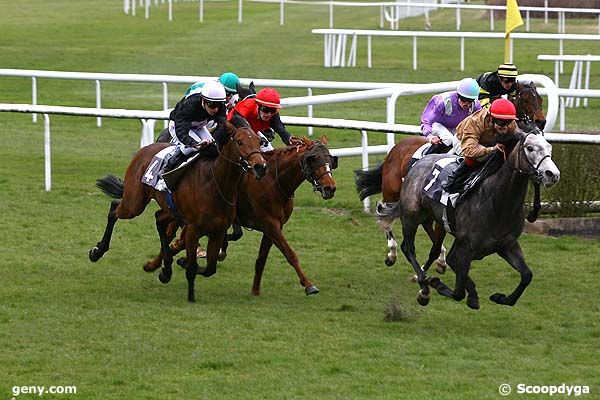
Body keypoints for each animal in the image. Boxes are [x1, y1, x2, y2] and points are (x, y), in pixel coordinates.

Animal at [89, 120, 268, 302]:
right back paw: (98, 252)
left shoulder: (218, 230)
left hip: (168, 210)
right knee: (114, 208)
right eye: (239, 142)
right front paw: (191, 296)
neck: (215, 183)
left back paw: (166, 270)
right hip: (134, 203)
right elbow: (193, 266)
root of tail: (143, 150)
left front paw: (180, 263)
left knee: (158, 220)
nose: (260, 166)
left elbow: (210, 268)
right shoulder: (193, 229)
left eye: (259, 142)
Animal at [145, 138, 338, 296]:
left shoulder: (273, 227)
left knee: (172, 230)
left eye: (330, 159)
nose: (330, 188)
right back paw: (159, 263)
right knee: (172, 233)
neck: (274, 181)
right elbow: (290, 253)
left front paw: (255, 290)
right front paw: (309, 285)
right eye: (313, 159)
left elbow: (261, 260)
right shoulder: (270, 224)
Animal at [354, 81, 548, 268]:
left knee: (423, 222)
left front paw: (534, 210)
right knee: (385, 214)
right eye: (526, 99)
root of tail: (397, 147)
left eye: (540, 99)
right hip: (393, 192)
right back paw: (392, 252)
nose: (540, 122)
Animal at [378, 131, 560, 310]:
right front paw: (438, 284)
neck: (497, 202)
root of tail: (417, 163)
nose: (553, 174)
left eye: (549, 147)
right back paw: (422, 286)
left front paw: (500, 297)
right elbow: (458, 291)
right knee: (408, 247)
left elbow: (527, 275)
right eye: (529, 148)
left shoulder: (506, 244)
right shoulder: (466, 246)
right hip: (411, 215)